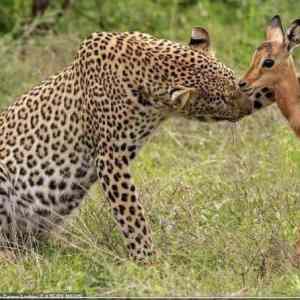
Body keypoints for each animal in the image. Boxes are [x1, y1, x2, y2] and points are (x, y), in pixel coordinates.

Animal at [0, 29, 274, 262]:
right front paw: (148, 261)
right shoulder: (110, 157)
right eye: (220, 100)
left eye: (236, 83)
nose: (246, 108)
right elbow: (132, 214)